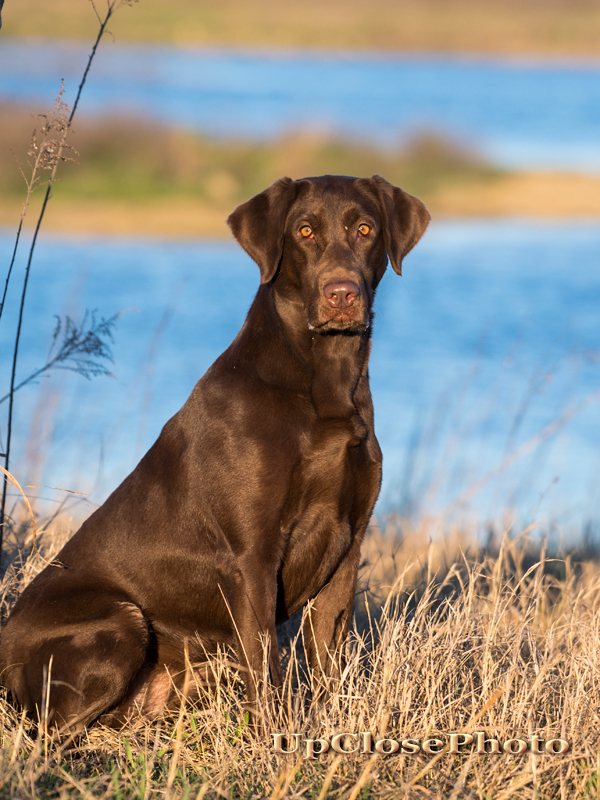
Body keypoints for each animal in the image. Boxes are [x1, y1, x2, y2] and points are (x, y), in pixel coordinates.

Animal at [0, 175, 428, 732]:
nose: (342, 294)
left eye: (365, 229)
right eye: (305, 231)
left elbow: (328, 660)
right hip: (121, 620)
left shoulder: (347, 547)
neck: (325, 381)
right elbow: (266, 666)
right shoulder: (253, 556)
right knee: (51, 730)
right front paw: (276, 741)